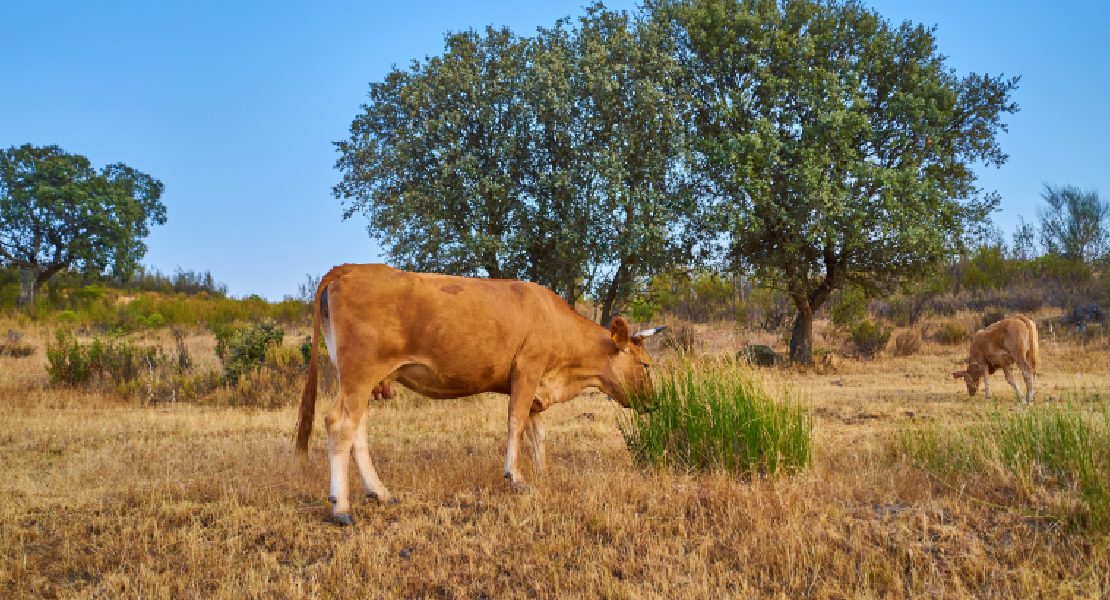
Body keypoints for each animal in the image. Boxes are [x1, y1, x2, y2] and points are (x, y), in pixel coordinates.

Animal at [293, 263, 666, 521]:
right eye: (645, 364)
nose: (654, 403)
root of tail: (352, 268)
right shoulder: (527, 370)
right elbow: (516, 423)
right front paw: (516, 477)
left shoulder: (537, 386)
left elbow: (538, 433)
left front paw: (543, 472)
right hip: (359, 374)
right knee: (339, 424)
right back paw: (341, 507)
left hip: (360, 381)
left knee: (358, 431)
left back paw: (380, 492)